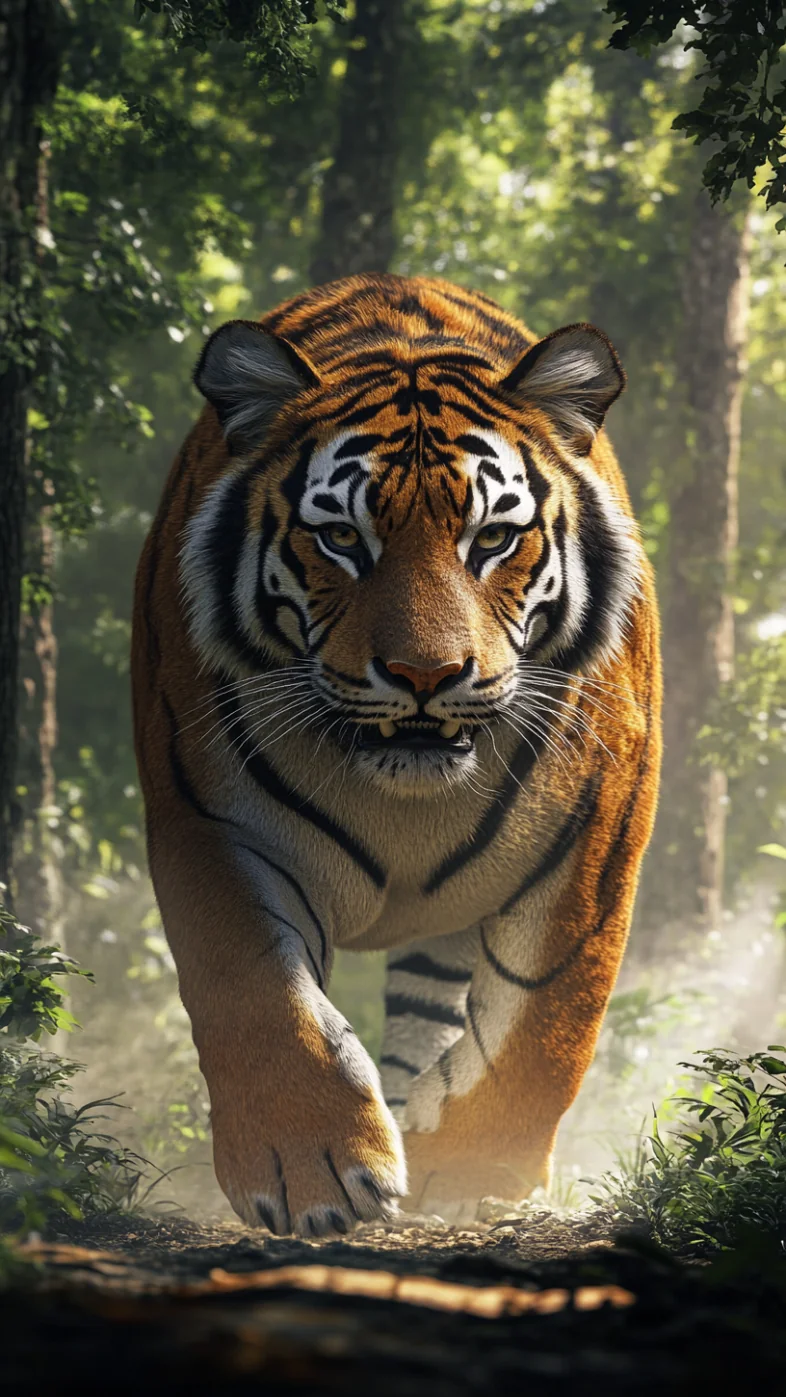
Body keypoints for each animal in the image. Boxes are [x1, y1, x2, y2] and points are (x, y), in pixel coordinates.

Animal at [131, 272, 661, 1236]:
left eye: (493, 537)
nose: (426, 672)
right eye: (342, 537)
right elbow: (253, 988)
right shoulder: (208, 819)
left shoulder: (598, 829)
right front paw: (313, 1171)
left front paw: (470, 1169)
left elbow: (547, 1016)